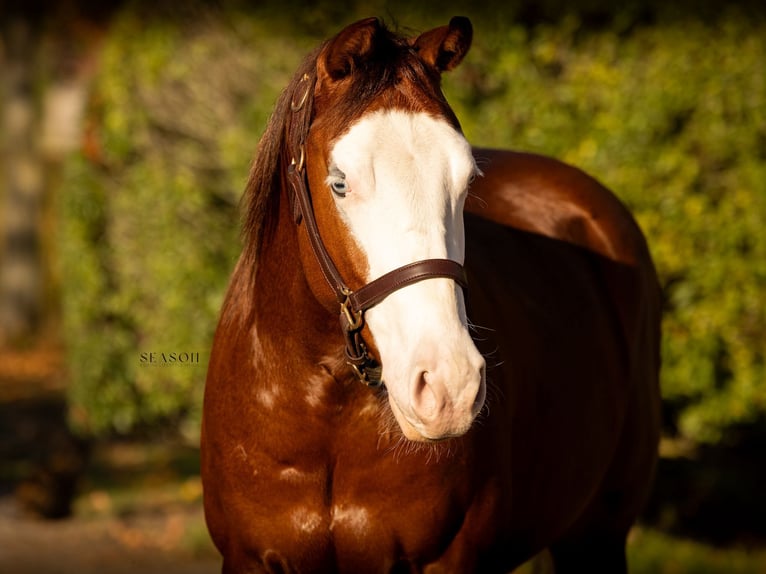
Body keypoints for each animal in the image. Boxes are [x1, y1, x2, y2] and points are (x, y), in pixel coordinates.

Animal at [201, 16, 661, 573]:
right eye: (339, 183)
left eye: (466, 180)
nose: (449, 386)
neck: (324, 413)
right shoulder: (247, 558)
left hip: (597, 534)